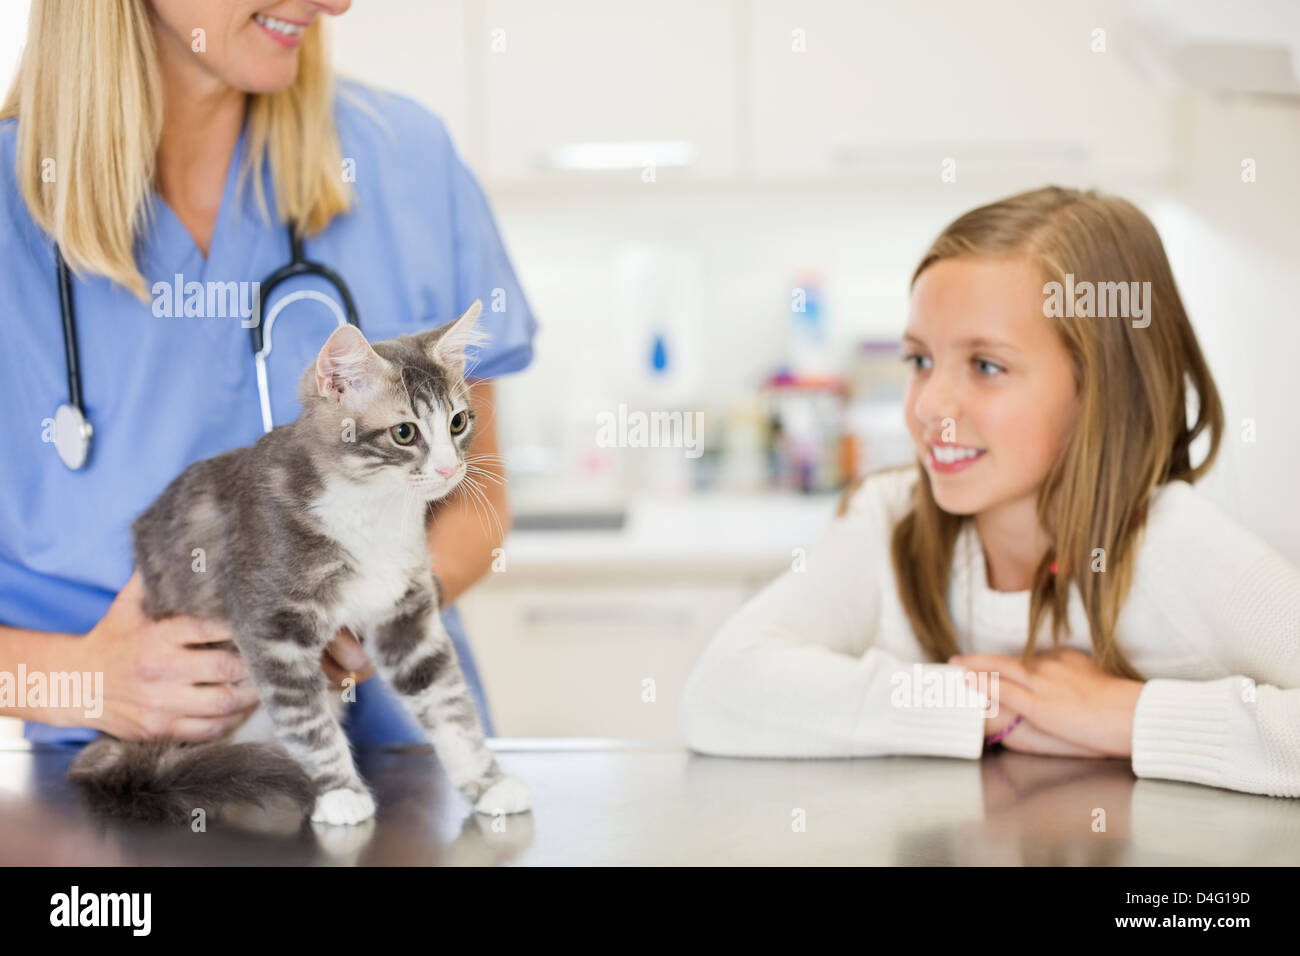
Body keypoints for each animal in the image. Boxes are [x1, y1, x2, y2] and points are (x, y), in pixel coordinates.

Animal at [68, 300, 527, 832]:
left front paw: (488, 783)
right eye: (405, 433)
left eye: (458, 422)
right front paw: (339, 792)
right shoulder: (271, 628)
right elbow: (306, 722)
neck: (373, 511)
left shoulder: (407, 619)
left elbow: (450, 706)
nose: (450, 469)